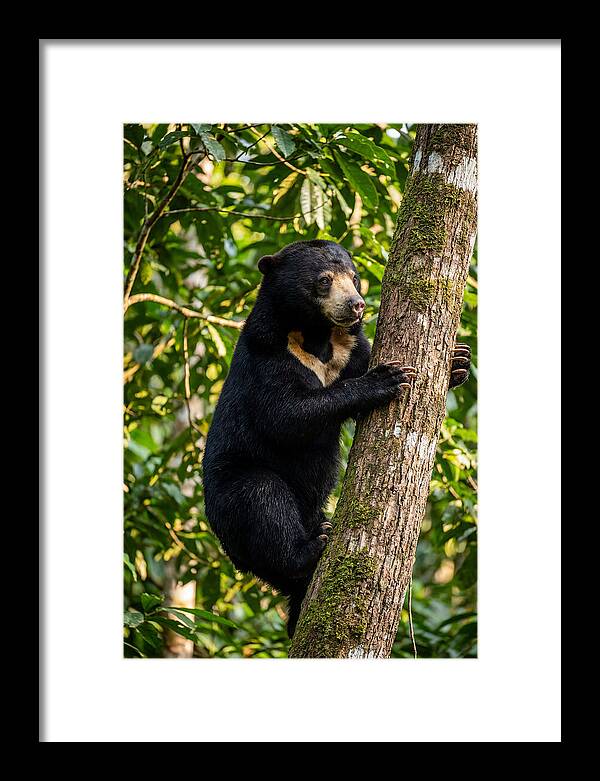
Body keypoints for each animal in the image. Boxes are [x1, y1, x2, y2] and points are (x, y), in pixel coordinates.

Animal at [202, 239, 470, 638]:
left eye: (355, 278)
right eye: (324, 280)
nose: (357, 304)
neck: (317, 336)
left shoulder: (350, 348)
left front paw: (458, 361)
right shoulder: (267, 356)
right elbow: (285, 416)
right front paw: (386, 379)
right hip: (231, 493)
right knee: (262, 499)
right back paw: (313, 546)